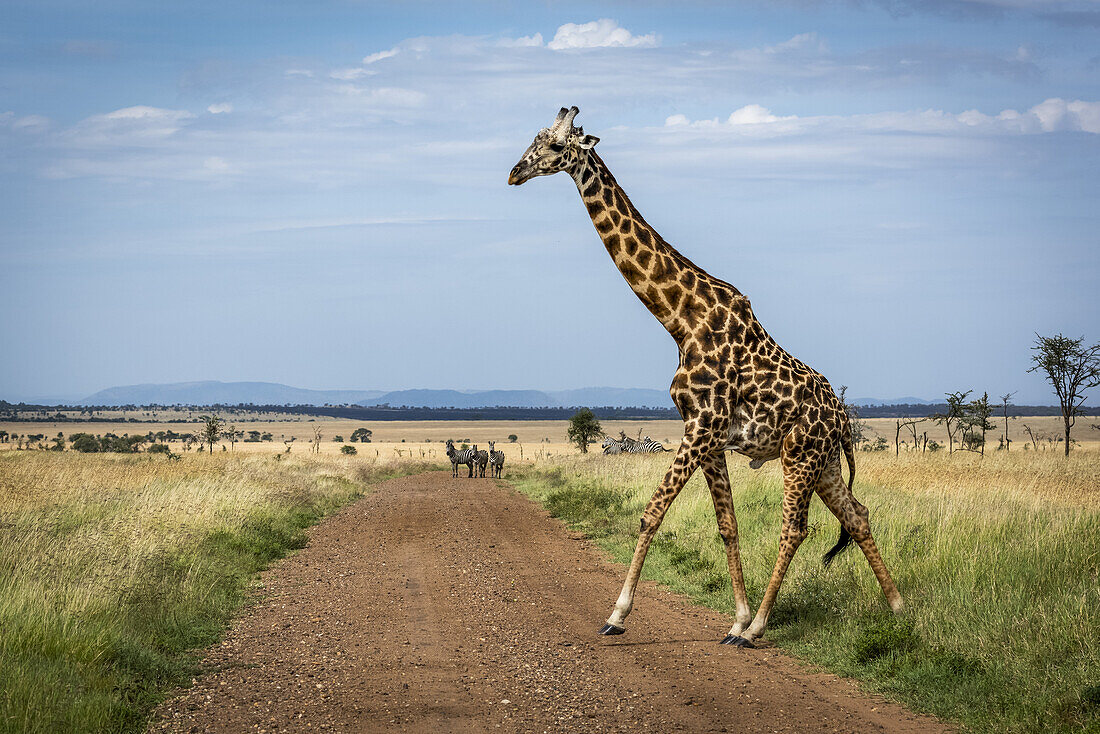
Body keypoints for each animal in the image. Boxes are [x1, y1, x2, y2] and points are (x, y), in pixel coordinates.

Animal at [506, 106, 902, 647]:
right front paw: (734, 617)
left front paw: (618, 615)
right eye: (535, 137)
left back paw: (759, 627)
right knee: (857, 515)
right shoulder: (708, 435)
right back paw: (899, 608)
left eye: (554, 145)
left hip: (799, 456)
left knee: (795, 528)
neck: (679, 318)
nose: (514, 173)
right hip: (823, 464)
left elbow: (652, 512)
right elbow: (727, 525)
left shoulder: (702, 425)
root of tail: (842, 418)